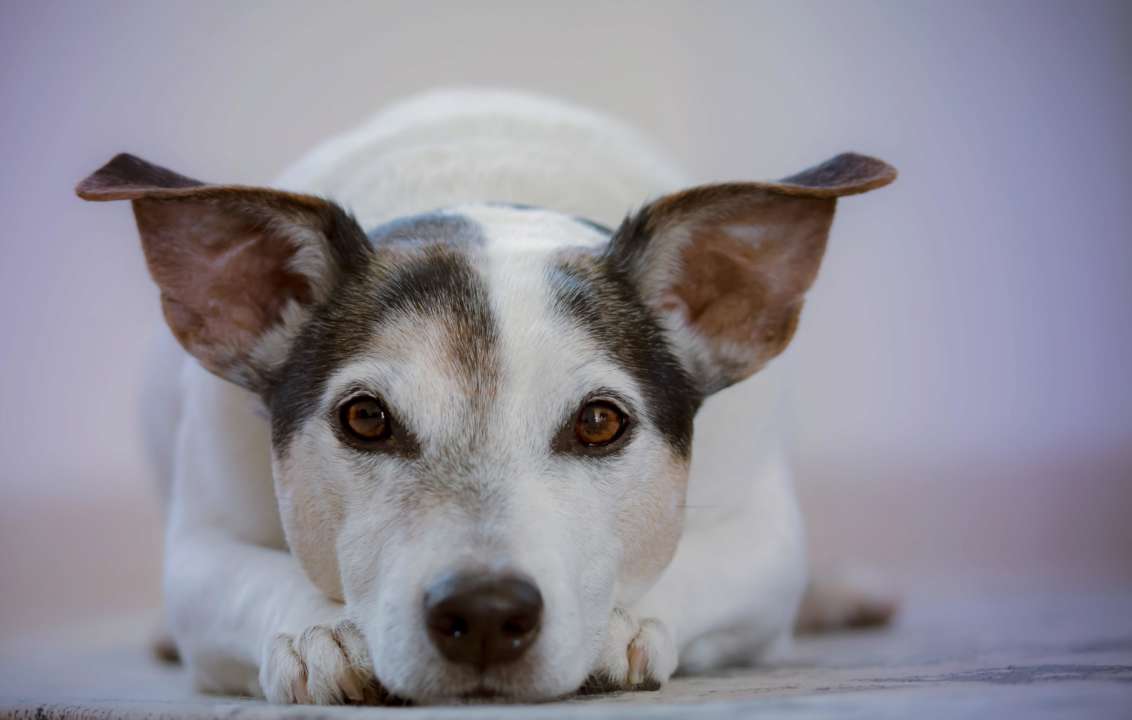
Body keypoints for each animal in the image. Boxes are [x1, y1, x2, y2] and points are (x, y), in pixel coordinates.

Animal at [75, 88, 896, 701]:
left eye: (600, 423)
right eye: (364, 418)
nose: (486, 612)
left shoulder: (765, 538)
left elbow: (700, 565)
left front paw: (620, 625)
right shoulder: (199, 547)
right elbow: (246, 577)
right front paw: (321, 632)